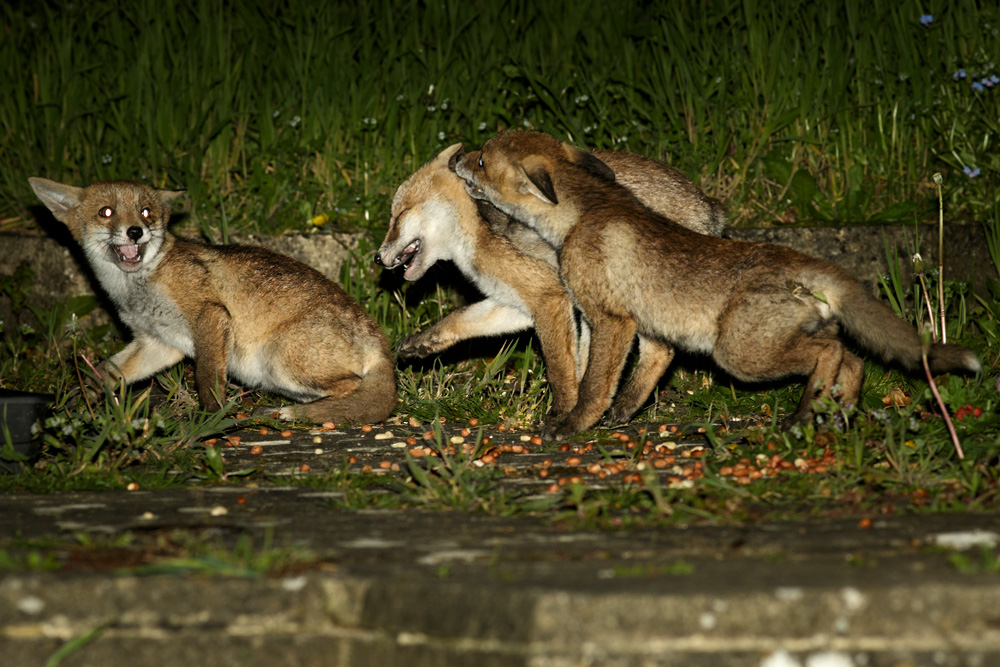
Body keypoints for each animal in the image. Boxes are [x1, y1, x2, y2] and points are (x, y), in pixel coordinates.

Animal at [29, 177, 397, 424]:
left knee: (354, 390)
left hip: (279, 359)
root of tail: (378, 337)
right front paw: (79, 402)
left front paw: (211, 419)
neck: (138, 284)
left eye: (146, 213)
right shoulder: (159, 343)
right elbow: (105, 372)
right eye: (106, 212)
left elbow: (205, 376)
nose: (135, 231)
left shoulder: (210, 314)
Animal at [375, 143, 725, 416]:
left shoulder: (549, 296)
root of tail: (707, 204)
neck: (478, 228)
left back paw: (620, 407)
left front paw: (563, 411)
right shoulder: (519, 301)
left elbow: (558, 368)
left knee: (661, 351)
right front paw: (421, 343)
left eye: (398, 216)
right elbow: (461, 318)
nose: (377, 258)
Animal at [454, 130, 982, 439]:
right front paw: (623, 414)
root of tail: (801, 259)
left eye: (481, 162)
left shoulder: (613, 319)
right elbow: (640, 375)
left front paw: (574, 425)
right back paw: (839, 412)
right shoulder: (649, 326)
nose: (456, 154)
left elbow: (593, 385)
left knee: (831, 352)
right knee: (851, 357)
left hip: (740, 355)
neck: (583, 215)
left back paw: (805, 413)